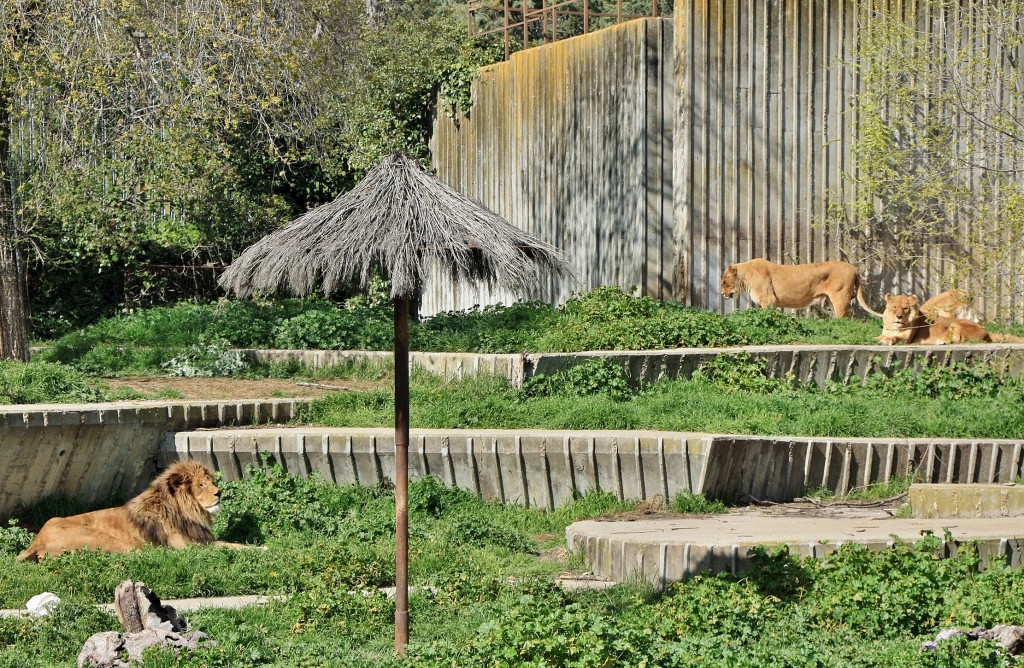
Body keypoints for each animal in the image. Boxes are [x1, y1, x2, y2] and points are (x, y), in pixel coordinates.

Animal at [18, 461, 246, 561]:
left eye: (211, 481)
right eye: (200, 485)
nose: (219, 493)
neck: (186, 510)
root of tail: (37, 540)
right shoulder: (187, 547)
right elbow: (231, 546)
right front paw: (255, 549)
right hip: (105, 539)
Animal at [720, 258, 880, 317]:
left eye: (724, 282)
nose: (721, 294)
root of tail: (854, 268)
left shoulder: (768, 300)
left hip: (840, 297)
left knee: (843, 318)